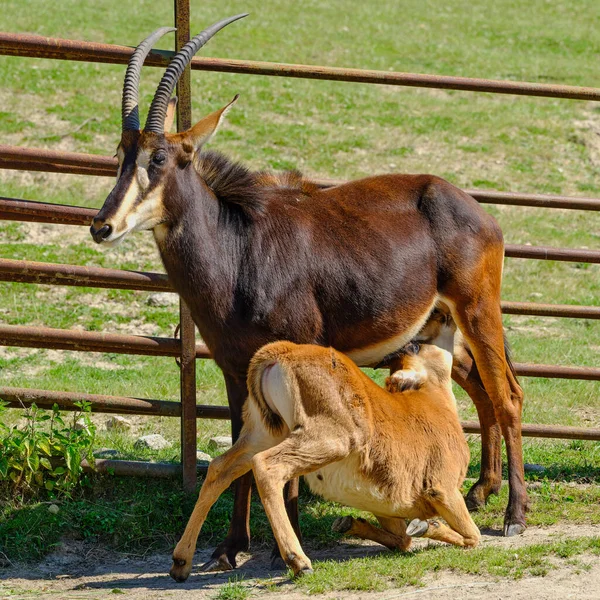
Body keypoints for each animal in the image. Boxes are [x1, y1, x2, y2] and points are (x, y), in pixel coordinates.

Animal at [170, 338, 482, 580]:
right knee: (268, 466)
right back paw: (298, 561)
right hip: (327, 439)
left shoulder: (388, 506)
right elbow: (472, 536)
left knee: (219, 468)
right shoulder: (443, 489)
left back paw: (181, 562)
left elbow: (403, 539)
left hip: (262, 432)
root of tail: (280, 352)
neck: (435, 403)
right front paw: (429, 526)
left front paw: (351, 524)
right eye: (418, 345)